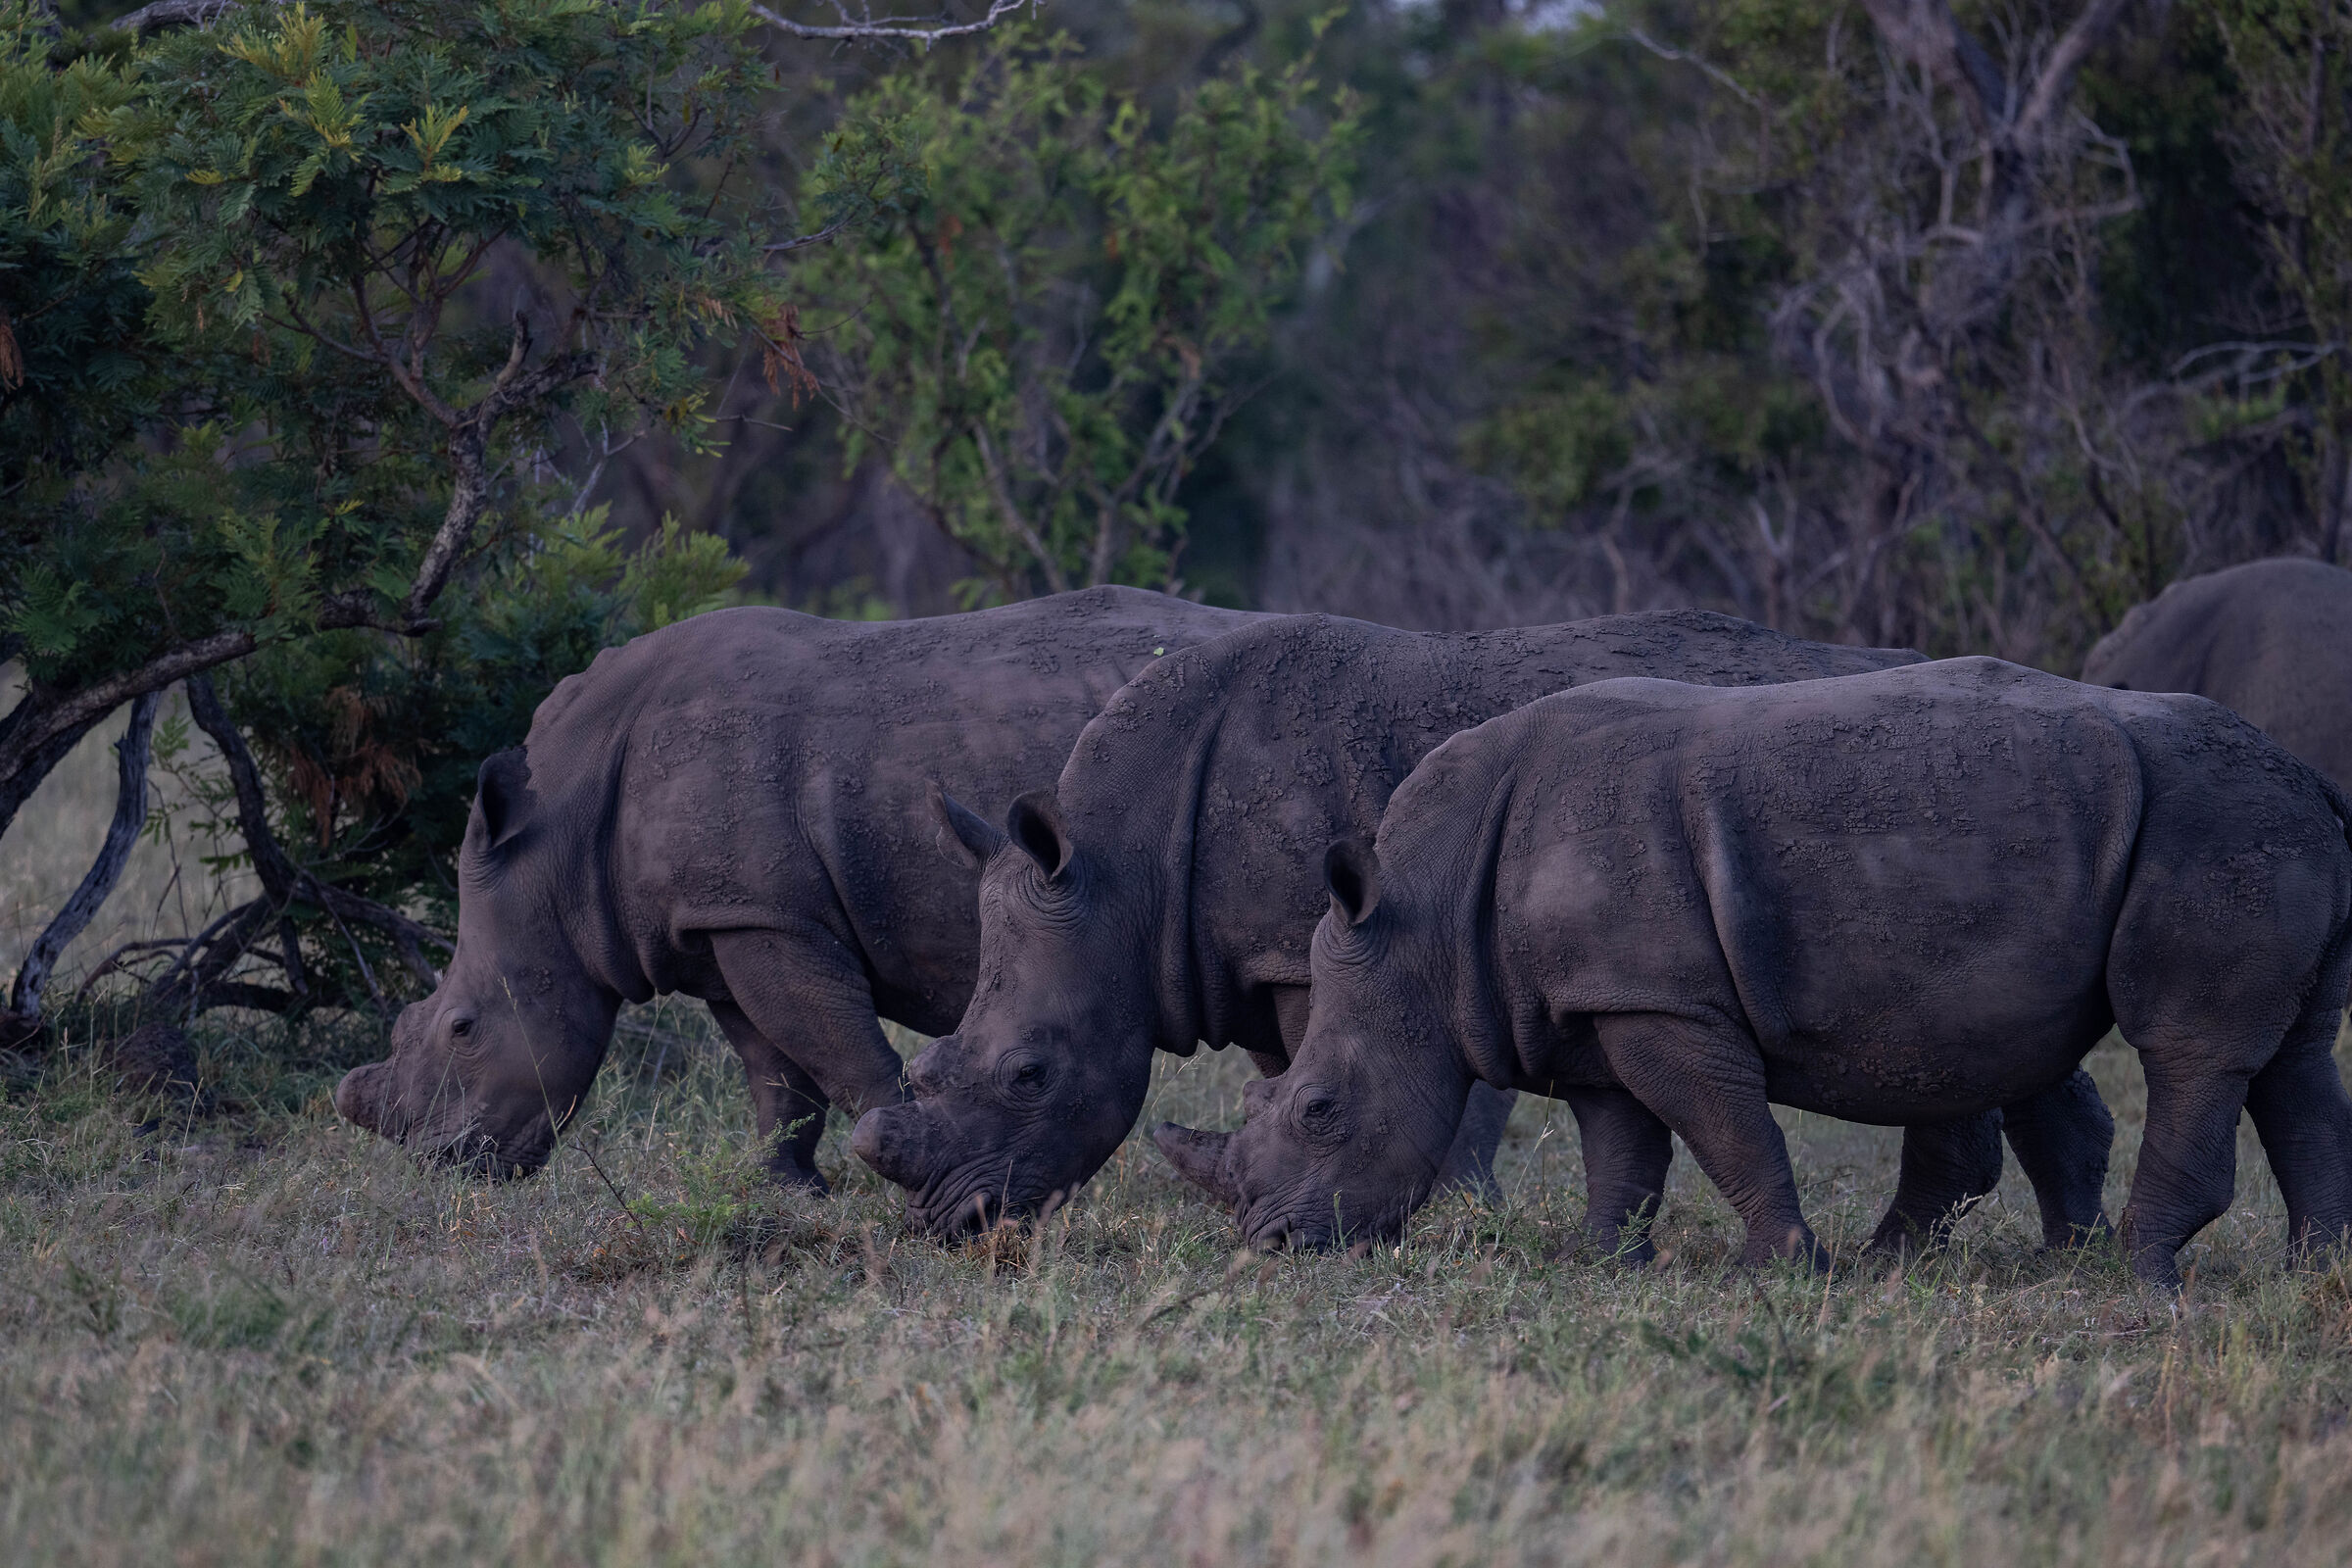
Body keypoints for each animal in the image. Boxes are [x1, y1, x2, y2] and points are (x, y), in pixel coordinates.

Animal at [332, 587, 1261, 1180]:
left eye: (461, 1028)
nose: (446, 1167)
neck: (558, 848)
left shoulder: (768, 918)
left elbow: (840, 1054)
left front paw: (900, 1156)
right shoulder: (727, 919)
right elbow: (775, 1074)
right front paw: (783, 1189)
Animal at [853, 614, 2118, 1253]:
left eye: (1029, 1074)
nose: (948, 1223)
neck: (1126, 872)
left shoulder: (1306, 939)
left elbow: (1354, 1069)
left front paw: (1416, 1209)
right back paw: (2051, 1251)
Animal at [1159, 658, 2352, 1289]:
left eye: (1319, 1108)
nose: (1270, 1245)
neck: (1426, 925)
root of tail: (2313, 782)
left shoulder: (1662, 1000)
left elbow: (1721, 1125)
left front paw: (1780, 1268)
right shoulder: (1597, 998)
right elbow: (1621, 1141)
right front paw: (1604, 1261)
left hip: (2210, 823)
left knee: (2189, 1044)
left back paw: (2133, 1273)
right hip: (2261, 828)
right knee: (2294, 1058)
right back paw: (2318, 1273)